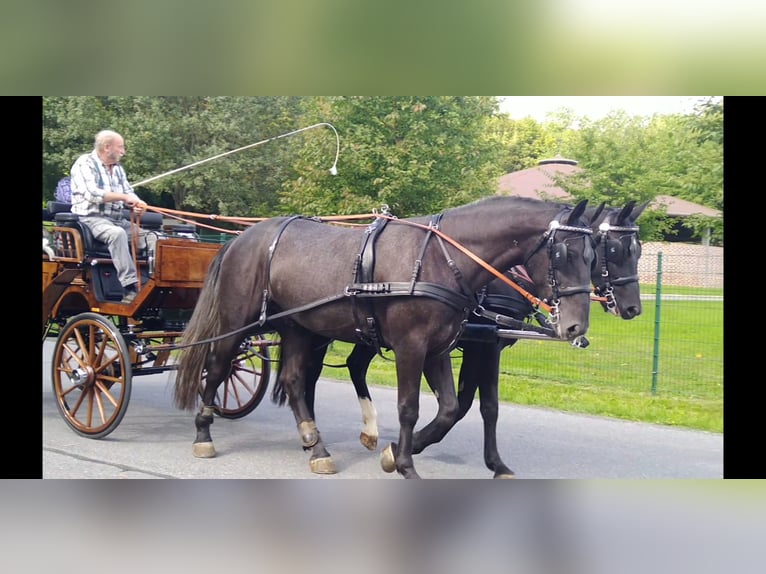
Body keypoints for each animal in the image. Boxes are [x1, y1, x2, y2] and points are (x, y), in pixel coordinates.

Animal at [176, 196, 600, 480]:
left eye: (593, 256)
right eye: (561, 254)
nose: (576, 328)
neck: (441, 259)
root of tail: (239, 239)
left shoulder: (439, 349)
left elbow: (450, 408)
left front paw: (396, 453)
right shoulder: (412, 348)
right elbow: (409, 408)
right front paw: (405, 465)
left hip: (299, 327)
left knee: (296, 382)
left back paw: (316, 446)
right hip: (238, 322)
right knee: (217, 367)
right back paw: (203, 434)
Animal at [300, 200, 648, 480]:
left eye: (637, 250)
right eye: (611, 249)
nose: (633, 308)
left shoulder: (485, 346)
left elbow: (484, 406)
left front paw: (496, 464)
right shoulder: (476, 346)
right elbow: (464, 404)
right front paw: (404, 450)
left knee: (345, 367)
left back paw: (356, 432)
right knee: (314, 374)